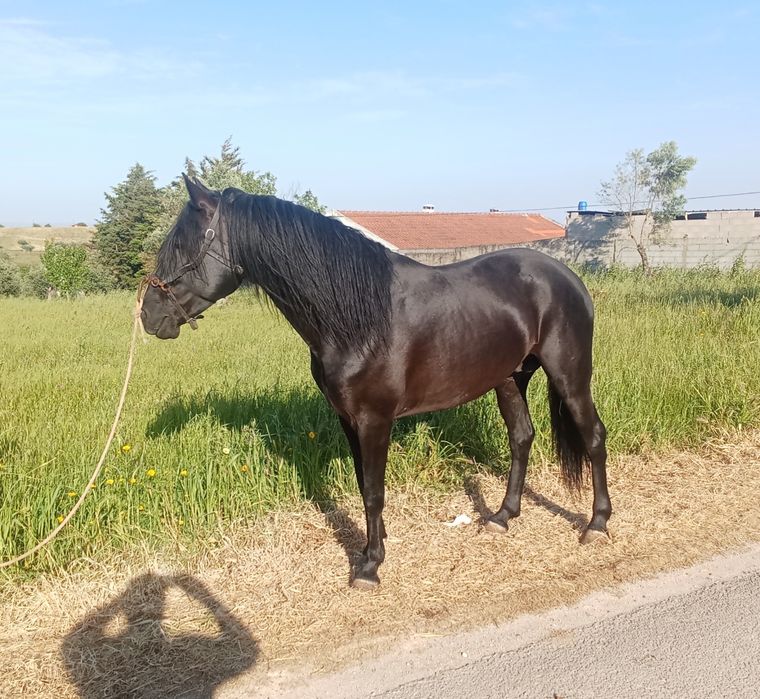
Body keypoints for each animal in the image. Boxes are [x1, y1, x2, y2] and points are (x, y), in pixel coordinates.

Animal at [140, 175, 612, 589]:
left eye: (182, 246)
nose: (148, 316)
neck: (356, 318)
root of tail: (569, 278)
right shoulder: (348, 419)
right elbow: (363, 483)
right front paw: (373, 544)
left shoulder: (374, 420)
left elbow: (373, 491)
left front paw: (369, 566)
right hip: (509, 379)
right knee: (522, 437)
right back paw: (502, 517)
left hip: (570, 377)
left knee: (593, 437)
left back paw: (597, 523)